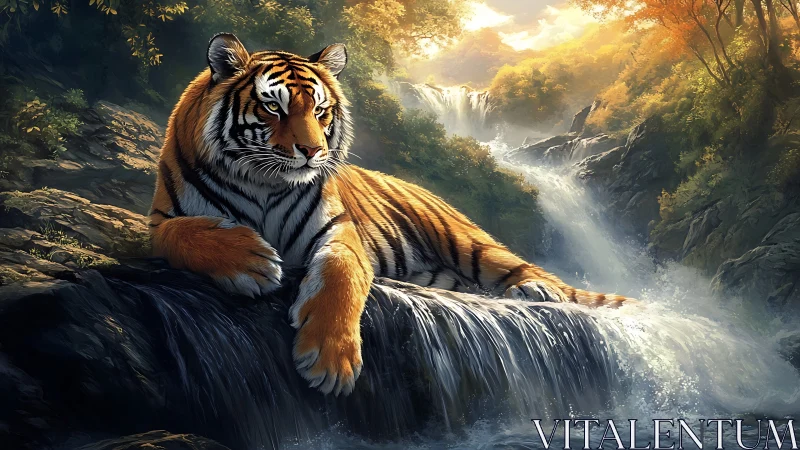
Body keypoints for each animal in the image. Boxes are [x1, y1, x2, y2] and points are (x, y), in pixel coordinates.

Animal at [149, 33, 632, 397]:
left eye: (320, 109)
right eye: (273, 107)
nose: (312, 151)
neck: (264, 182)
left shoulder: (339, 231)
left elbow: (340, 275)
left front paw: (331, 360)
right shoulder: (161, 221)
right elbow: (187, 233)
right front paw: (252, 260)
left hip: (468, 243)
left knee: (530, 271)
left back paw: (536, 290)